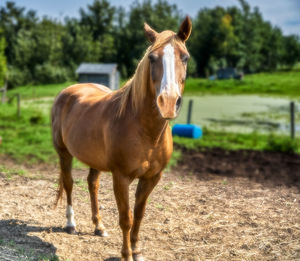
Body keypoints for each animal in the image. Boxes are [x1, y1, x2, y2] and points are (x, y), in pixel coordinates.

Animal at [51, 16, 192, 260]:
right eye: (152, 57)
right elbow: (126, 218)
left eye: (185, 57)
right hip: (64, 154)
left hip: (94, 160)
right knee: (69, 184)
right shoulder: (121, 177)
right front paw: (126, 254)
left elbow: (139, 214)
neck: (146, 132)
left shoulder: (152, 178)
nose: (168, 102)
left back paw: (99, 227)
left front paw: (137, 251)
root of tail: (68, 91)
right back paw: (70, 224)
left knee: (93, 185)